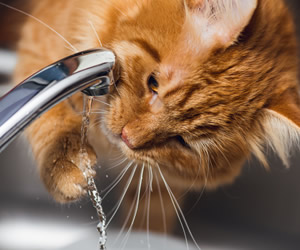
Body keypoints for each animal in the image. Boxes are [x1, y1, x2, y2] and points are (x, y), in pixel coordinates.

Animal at [8, 0, 300, 232]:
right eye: (153, 83)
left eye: (182, 141)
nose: (126, 137)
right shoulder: (41, 48)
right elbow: (52, 117)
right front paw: (68, 165)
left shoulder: (158, 186)